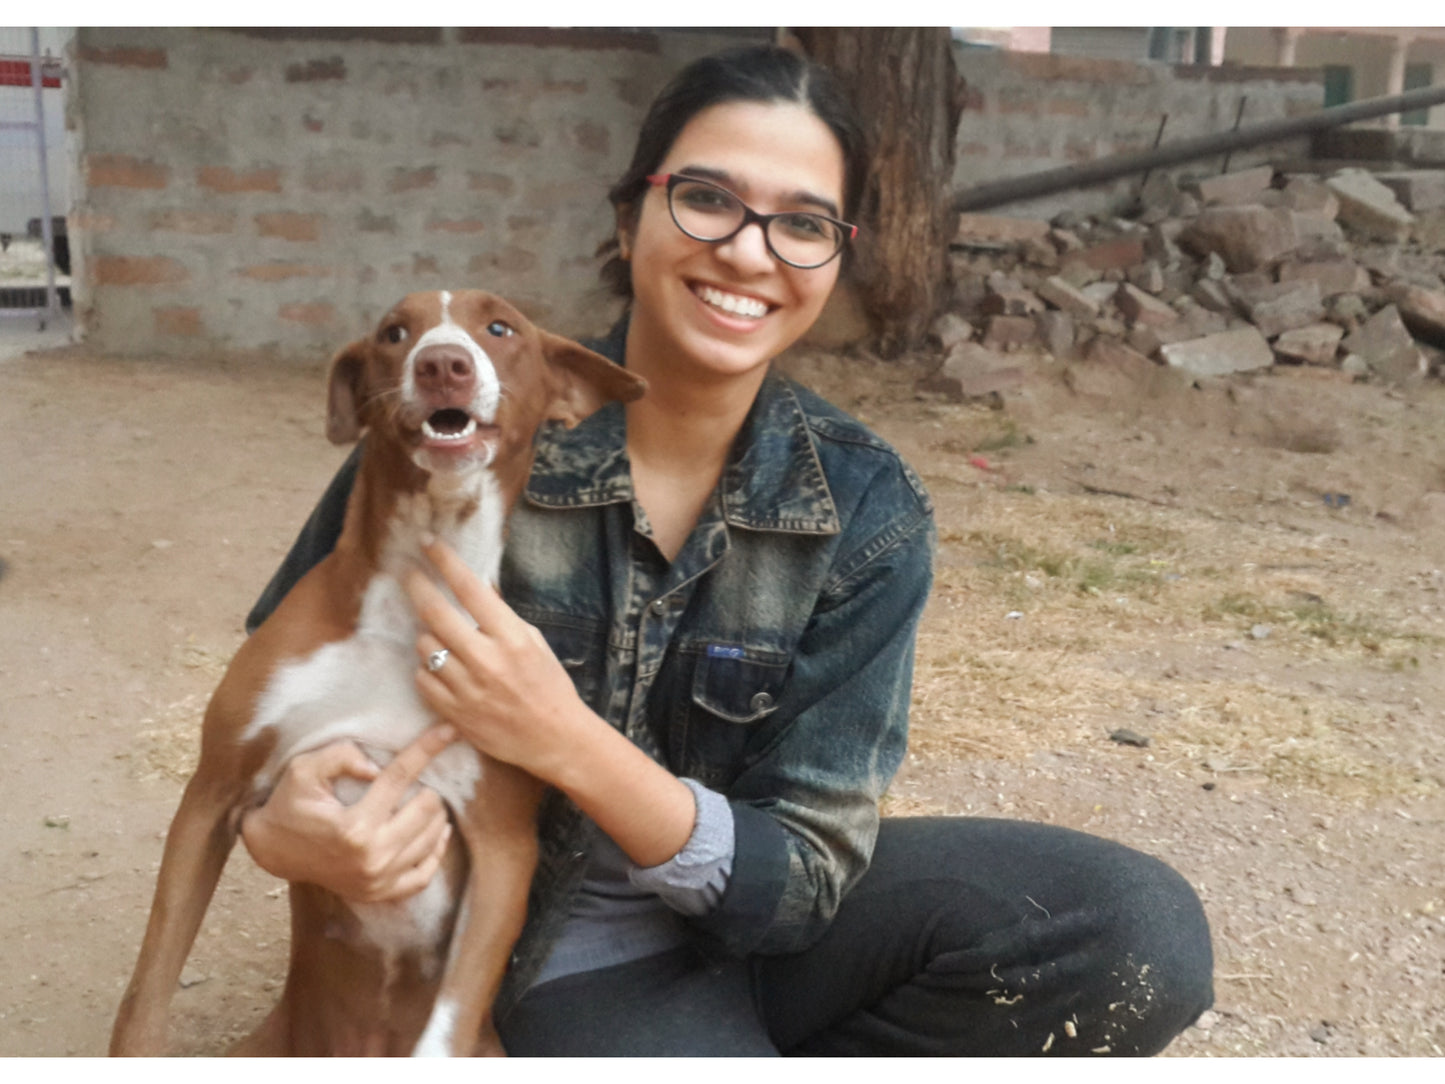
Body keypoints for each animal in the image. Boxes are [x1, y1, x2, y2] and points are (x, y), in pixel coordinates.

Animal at [104, 293, 641, 1057]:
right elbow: (148, 989)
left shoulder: (505, 847)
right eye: (394, 333)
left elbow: (444, 1032)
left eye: (499, 327)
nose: (442, 363)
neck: (412, 601)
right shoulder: (212, 792)